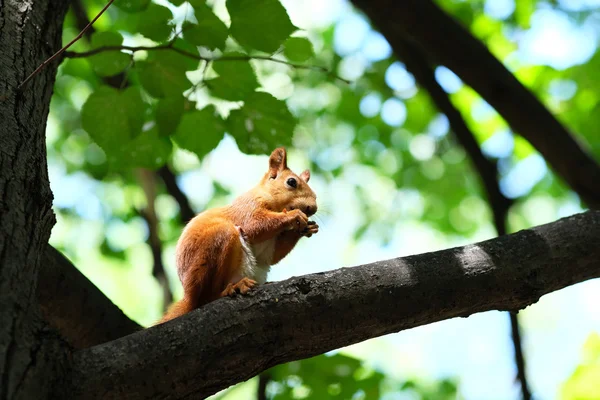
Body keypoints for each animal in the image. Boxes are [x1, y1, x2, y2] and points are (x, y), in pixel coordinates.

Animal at [158, 148, 318, 324]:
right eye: (291, 182)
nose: (313, 208)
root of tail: (189, 298)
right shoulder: (247, 208)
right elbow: (254, 225)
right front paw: (293, 215)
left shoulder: (271, 244)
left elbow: (273, 256)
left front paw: (307, 228)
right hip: (215, 247)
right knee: (206, 298)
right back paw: (230, 289)